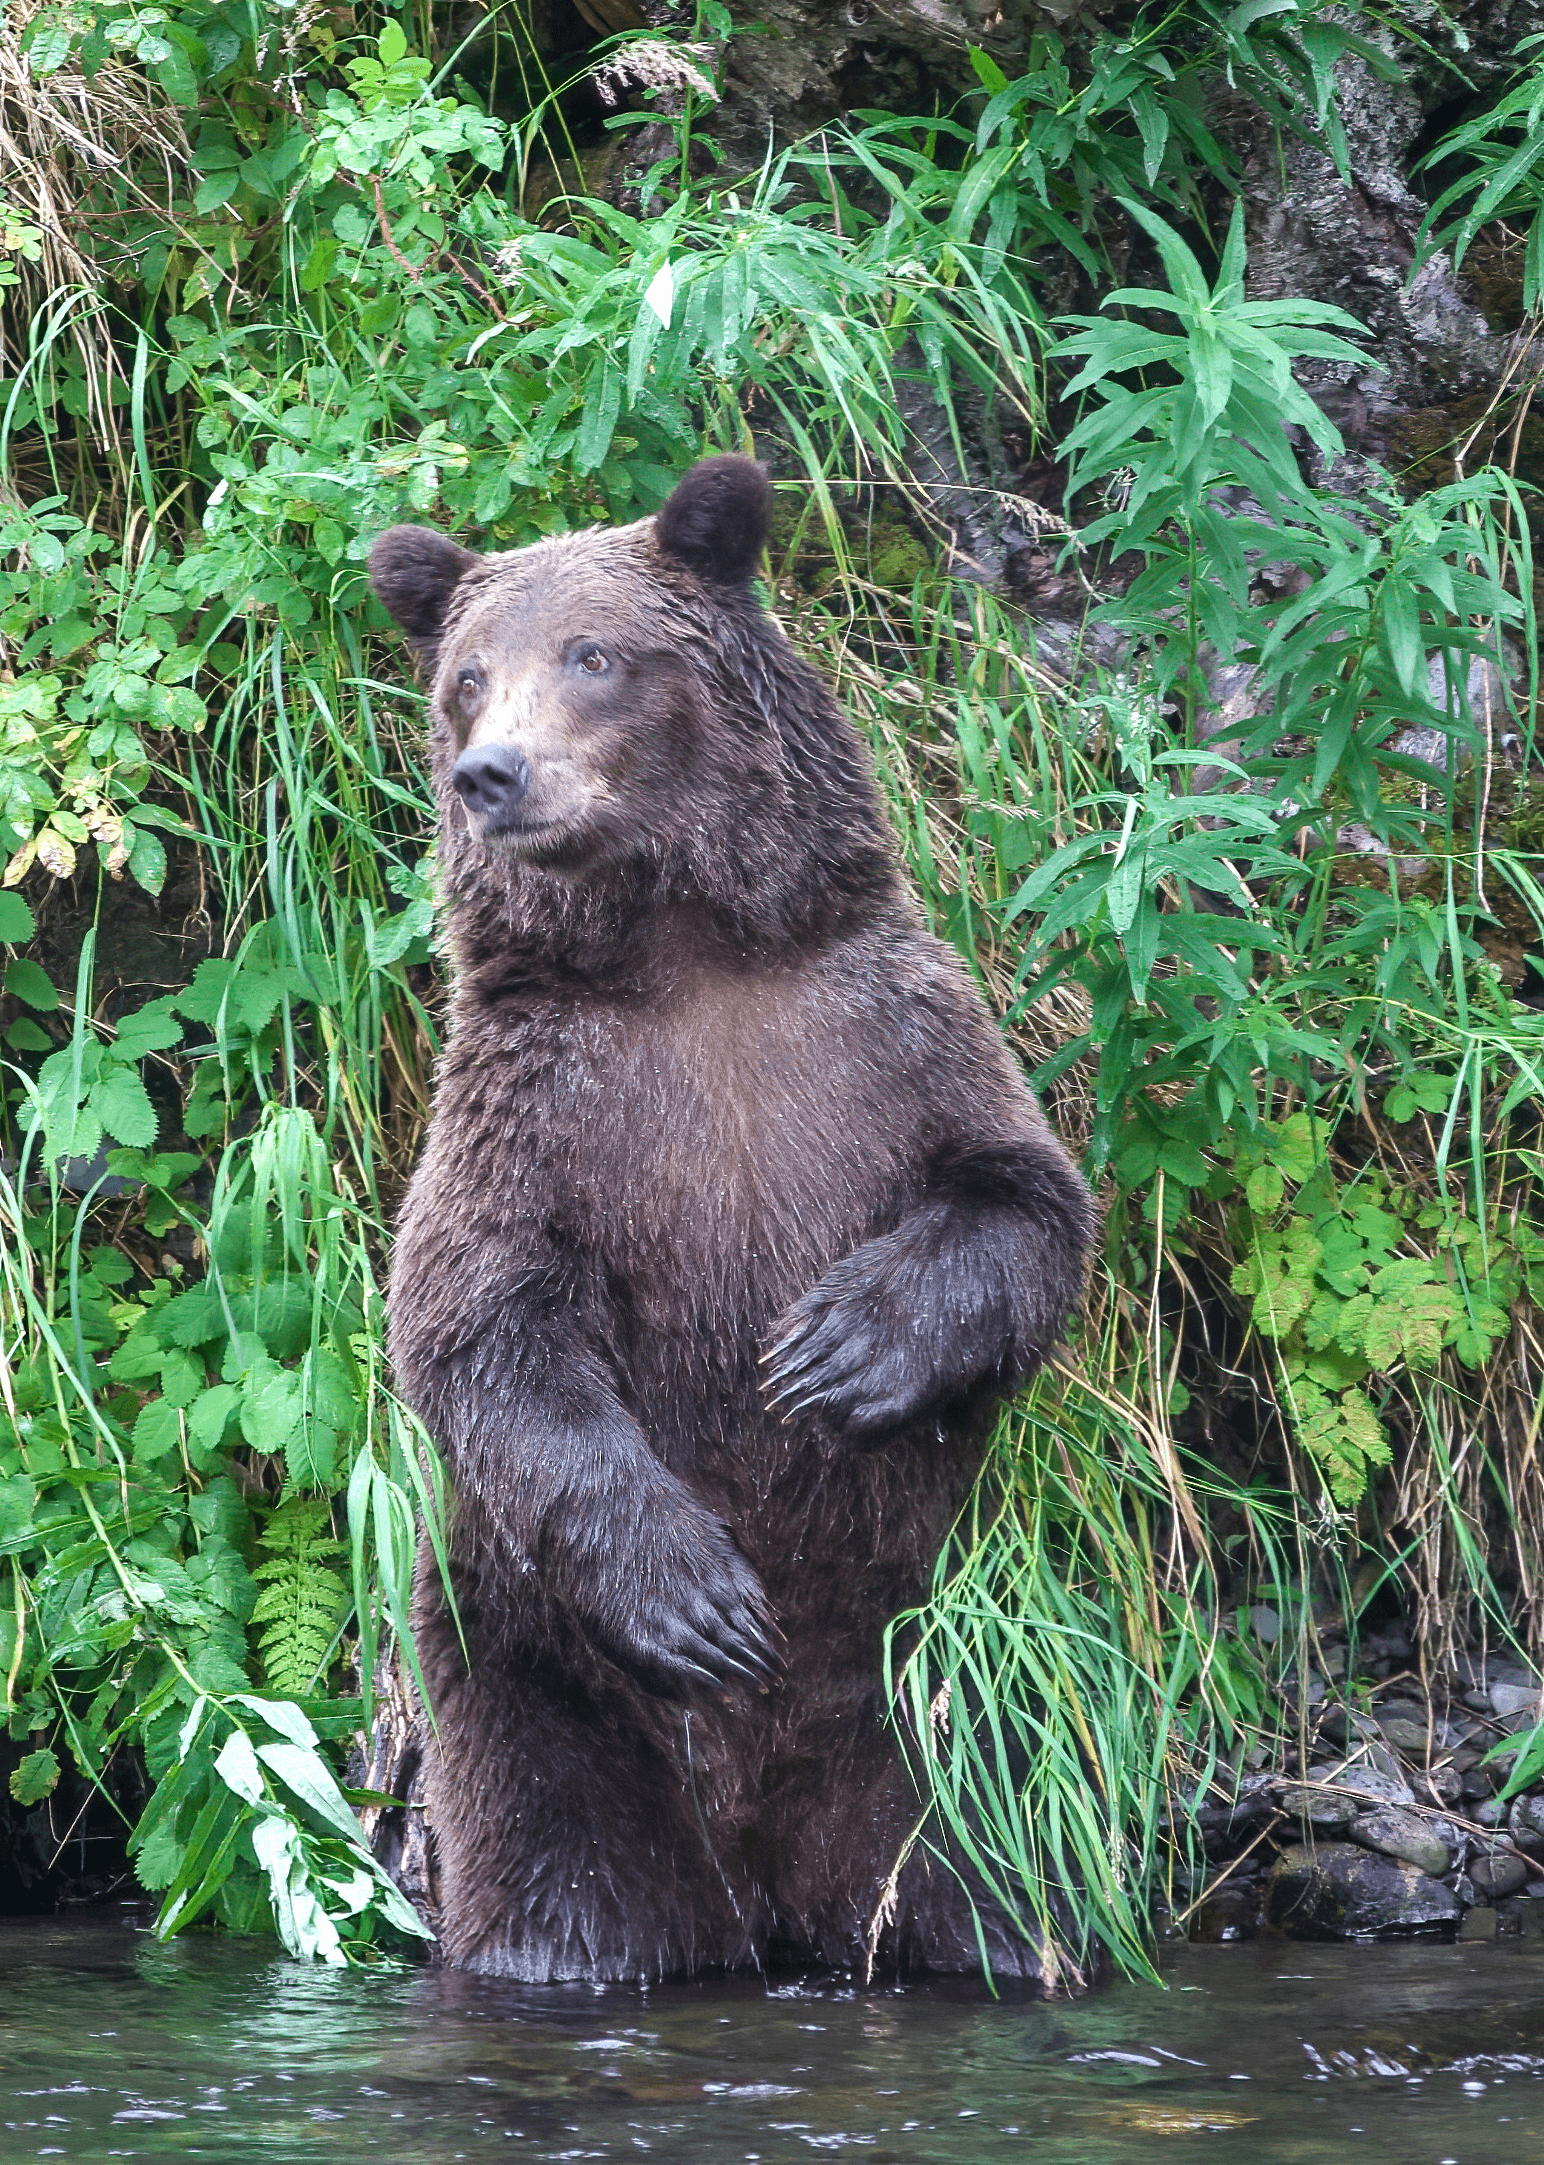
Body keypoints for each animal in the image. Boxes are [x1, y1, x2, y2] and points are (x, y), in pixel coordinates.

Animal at [367, 455, 1094, 1985]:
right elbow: (482, 1324)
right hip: (533, 1684)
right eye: (466, 676)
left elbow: (1024, 1201)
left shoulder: (882, 1032)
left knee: (986, 1880)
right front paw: (697, 1596)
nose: (490, 773)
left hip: (925, 1700)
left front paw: (836, 1351)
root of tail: (766, 1872)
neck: (685, 950)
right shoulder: (537, 1111)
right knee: (567, 1888)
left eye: (592, 654)